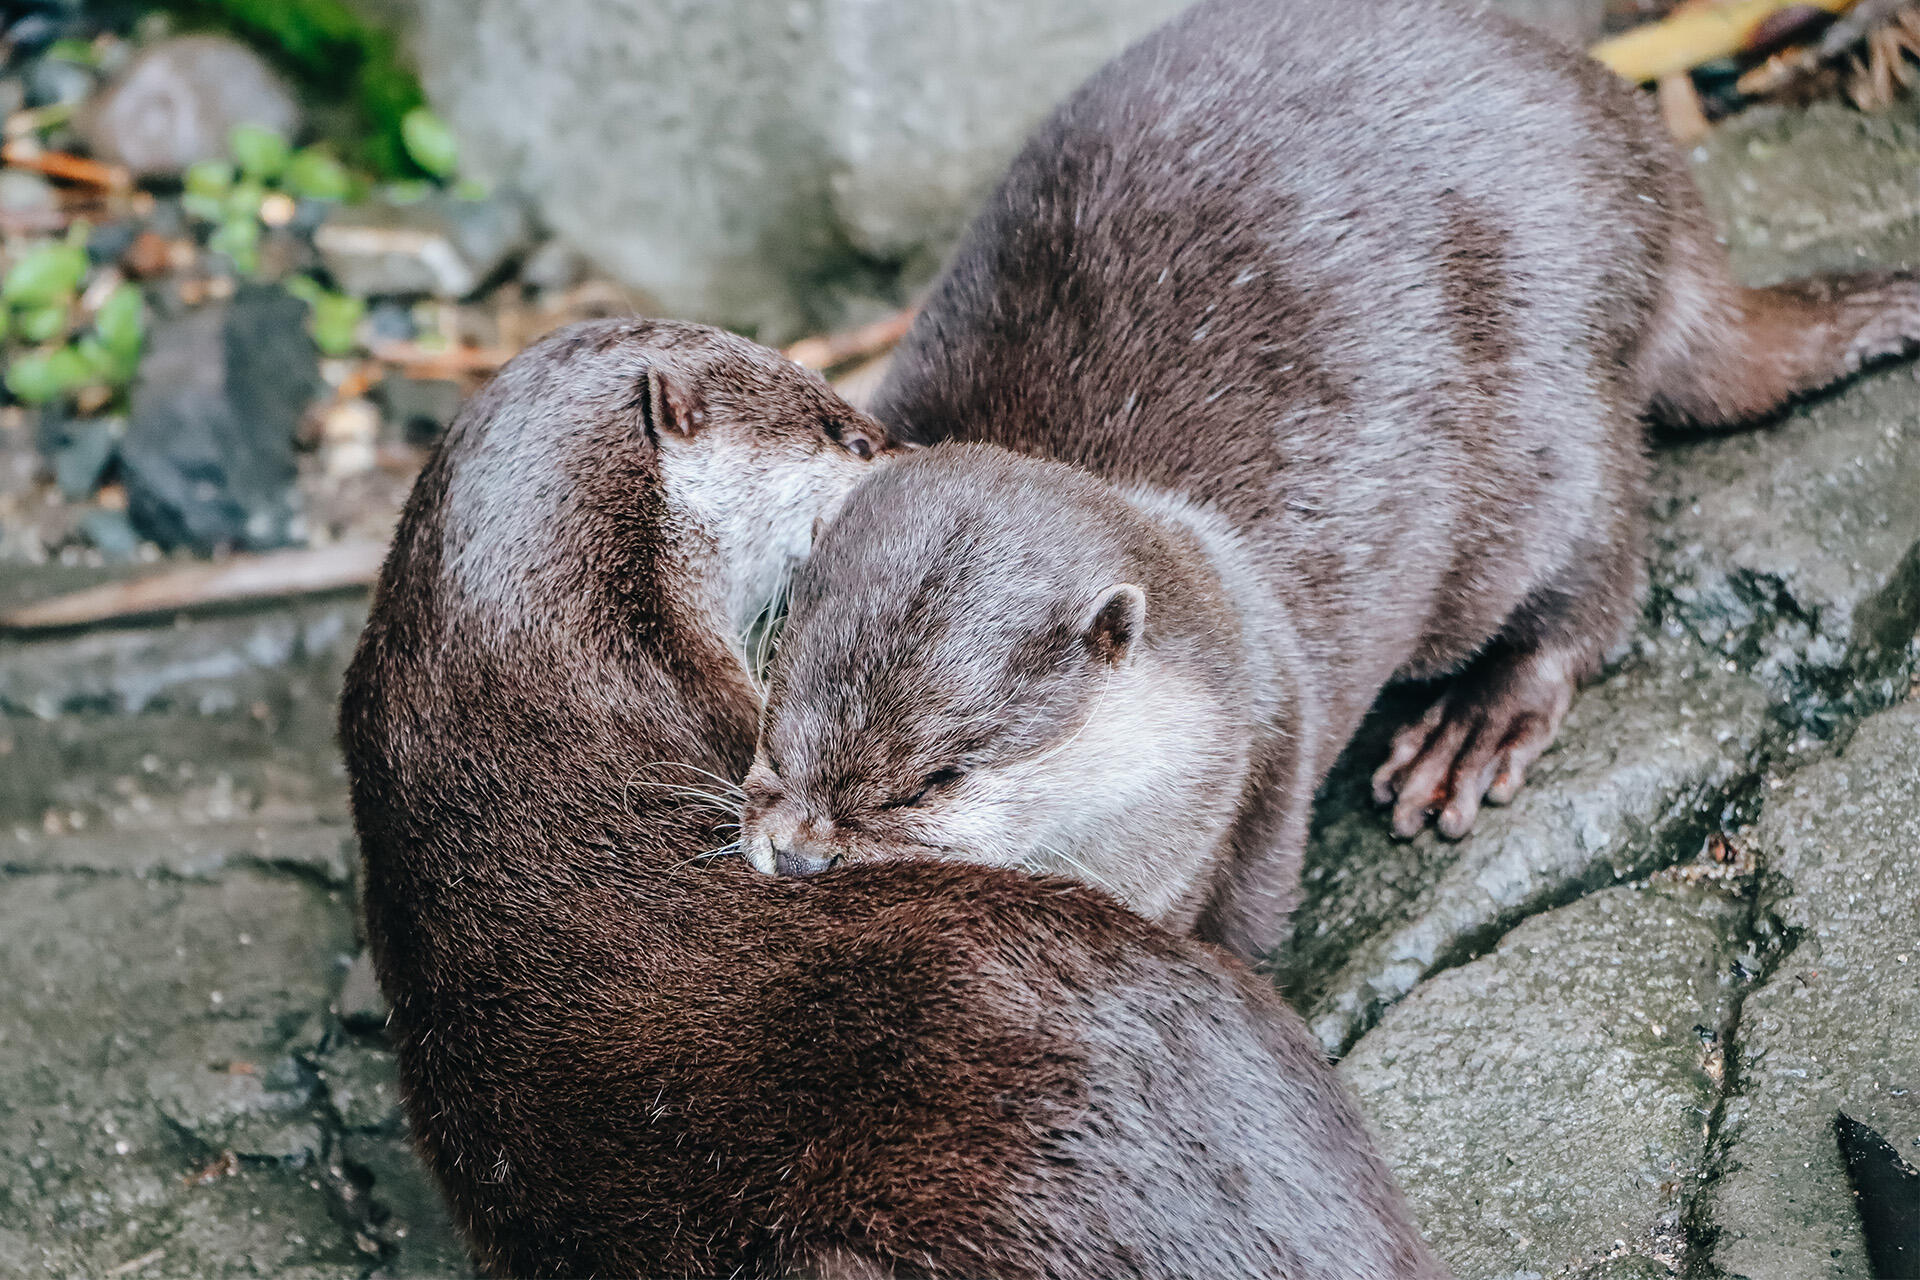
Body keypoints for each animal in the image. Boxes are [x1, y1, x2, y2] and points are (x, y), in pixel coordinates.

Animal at [739, 0, 1920, 958]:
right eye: (772, 723)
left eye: (939, 778)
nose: (800, 854)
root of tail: (1654, 183)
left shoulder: (1261, 754)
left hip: (1554, 414)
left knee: (1598, 569)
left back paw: (1474, 727)